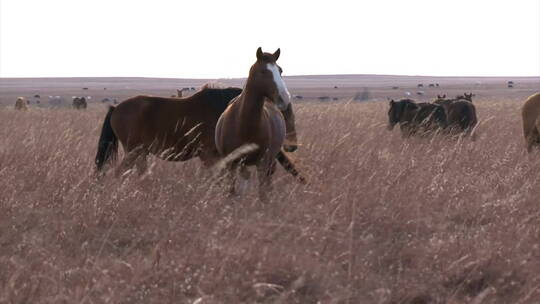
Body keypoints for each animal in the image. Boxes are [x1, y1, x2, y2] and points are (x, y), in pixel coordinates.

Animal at [94, 83, 302, 180]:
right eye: (282, 114)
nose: (291, 146)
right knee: (120, 172)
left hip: (141, 153)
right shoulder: (210, 155)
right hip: (133, 151)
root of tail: (116, 108)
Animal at [214, 47, 292, 200]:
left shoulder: (262, 162)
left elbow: (263, 194)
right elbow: (231, 193)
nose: (284, 98)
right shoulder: (231, 164)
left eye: (280, 70)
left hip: (268, 163)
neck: (243, 124)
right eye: (263, 71)